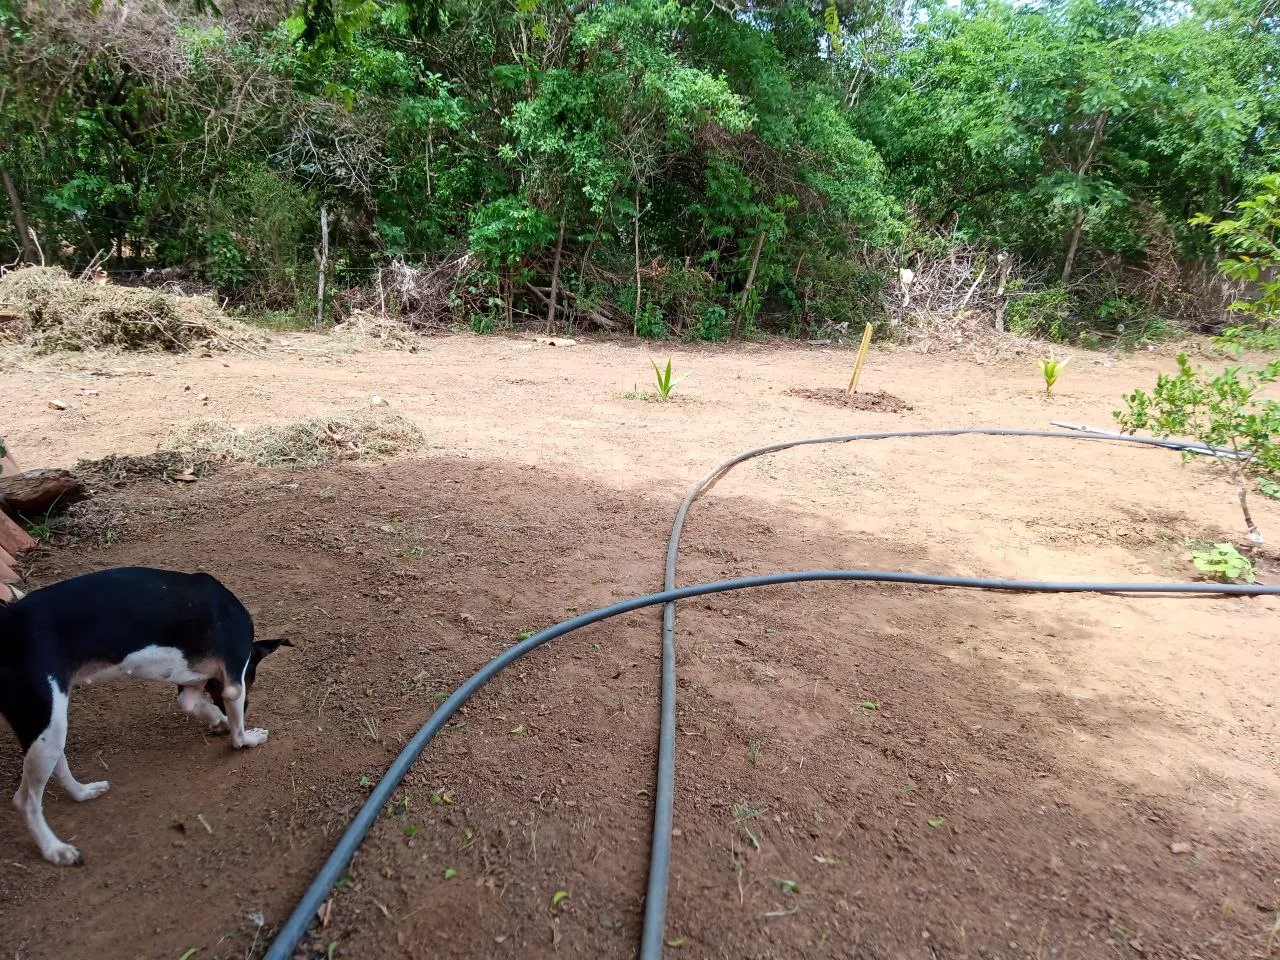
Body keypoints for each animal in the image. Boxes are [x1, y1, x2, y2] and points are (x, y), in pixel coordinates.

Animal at [0, 568, 290, 870]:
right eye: (252, 676)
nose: (247, 707)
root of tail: (5, 624)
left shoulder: (190, 682)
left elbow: (191, 703)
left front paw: (219, 720)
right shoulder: (233, 681)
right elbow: (237, 732)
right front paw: (247, 737)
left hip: (50, 727)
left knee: (58, 765)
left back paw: (83, 792)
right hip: (44, 721)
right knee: (26, 800)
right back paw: (54, 849)